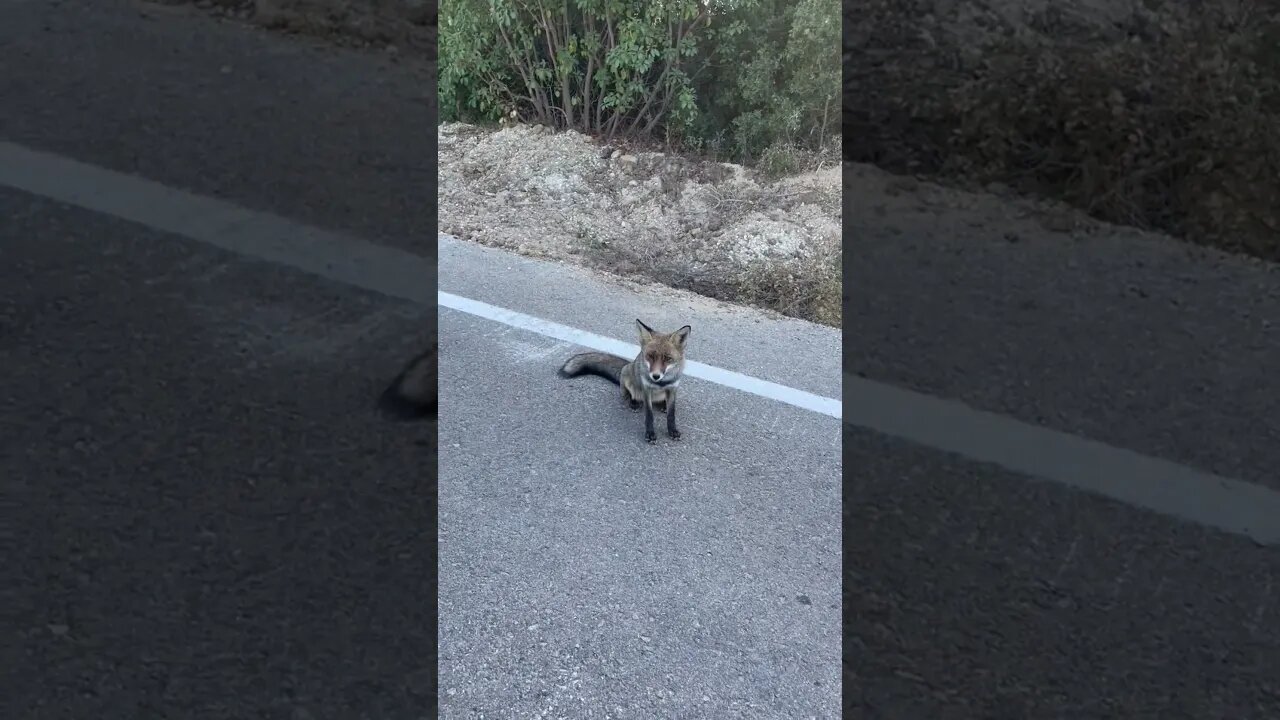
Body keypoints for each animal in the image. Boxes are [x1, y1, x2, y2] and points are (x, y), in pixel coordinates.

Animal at [558, 319, 691, 443]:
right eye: (650, 356)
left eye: (668, 359)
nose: (655, 376)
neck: (661, 384)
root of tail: (629, 364)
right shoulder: (646, 389)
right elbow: (649, 415)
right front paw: (650, 433)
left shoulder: (673, 388)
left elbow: (671, 414)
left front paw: (672, 430)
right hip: (628, 377)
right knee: (631, 394)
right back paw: (634, 403)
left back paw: (663, 405)